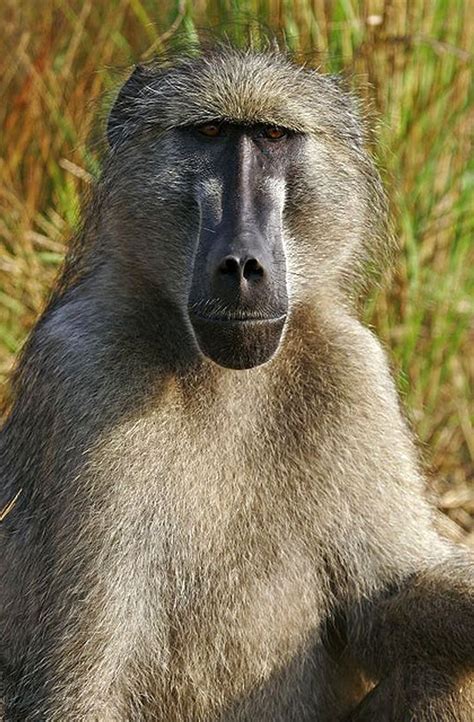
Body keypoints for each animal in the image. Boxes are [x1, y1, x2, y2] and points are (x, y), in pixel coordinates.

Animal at [0, 44, 473, 722]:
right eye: (211, 134)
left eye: (273, 137)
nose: (243, 265)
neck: (222, 376)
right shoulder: (81, 368)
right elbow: (75, 685)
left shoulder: (354, 368)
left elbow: (385, 599)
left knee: (442, 671)